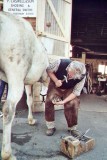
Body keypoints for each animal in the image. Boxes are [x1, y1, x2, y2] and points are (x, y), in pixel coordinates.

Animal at [0, 11, 48, 160]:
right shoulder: (41, 75)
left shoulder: (27, 80)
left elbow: (29, 100)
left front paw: (31, 119)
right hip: (15, 72)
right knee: (8, 108)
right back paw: (7, 153)